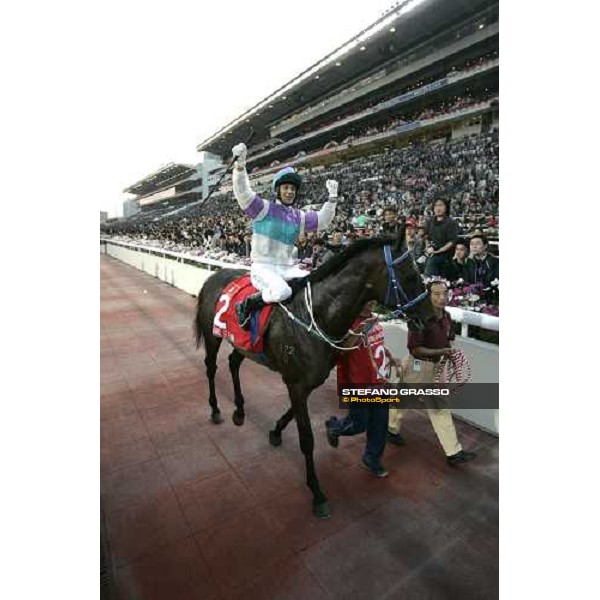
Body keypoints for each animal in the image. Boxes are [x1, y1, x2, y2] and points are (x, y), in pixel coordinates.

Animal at [195, 232, 434, 516]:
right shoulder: (296, 383)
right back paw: (215, 409)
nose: (431, 317)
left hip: (244, 344)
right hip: (212, 336)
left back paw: (240, 411)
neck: (317, 316)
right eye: (410, 277)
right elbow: (307, 438)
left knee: (233, 363)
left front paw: (276, 431)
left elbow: (291, 414)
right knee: (211, 368)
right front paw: (317, 492)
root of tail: (215, 276)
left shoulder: (307, 381)